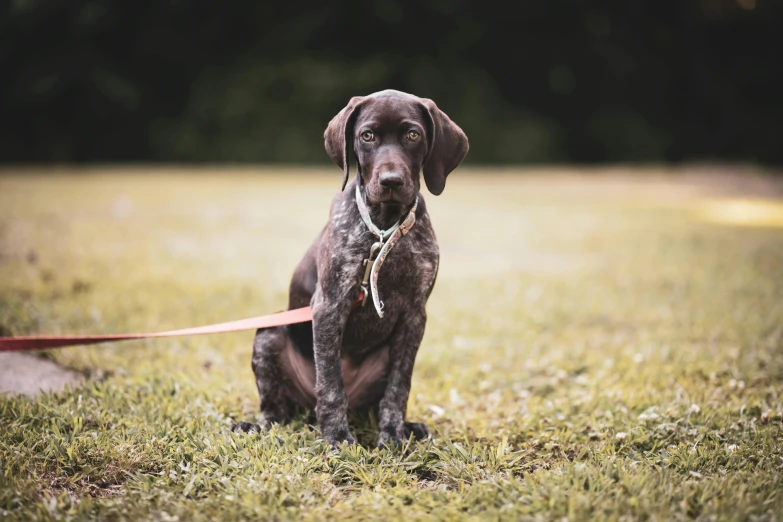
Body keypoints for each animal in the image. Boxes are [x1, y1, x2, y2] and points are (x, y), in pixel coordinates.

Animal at [230, 90, 468, 446]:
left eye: (413, 135)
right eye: (367, 136)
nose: (391, 181)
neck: (383, 229)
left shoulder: (414, 315)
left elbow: (399, 388)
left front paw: (393, 436)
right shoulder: (330, 306)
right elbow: (330, 386)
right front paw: (338, 438)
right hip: (270, 333)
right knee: (279, 410)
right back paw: (258, 425)